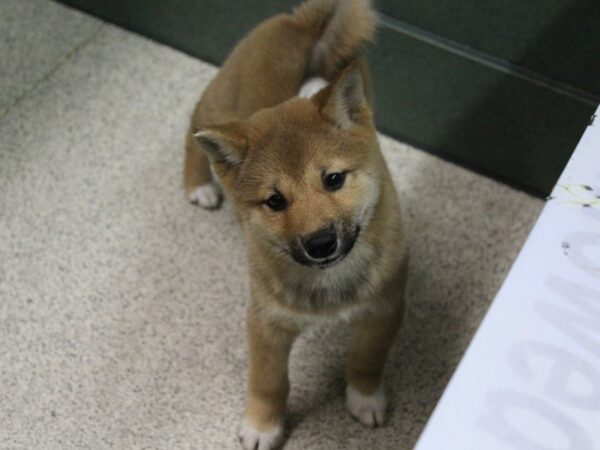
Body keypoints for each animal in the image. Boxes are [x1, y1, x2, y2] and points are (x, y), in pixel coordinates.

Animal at [184, 0, 408, 450]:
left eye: (334, 179)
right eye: (275, 201)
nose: (320, 242)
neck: (330, 283)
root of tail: (300, 24)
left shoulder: (384, 309)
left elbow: (365, 360)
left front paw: (365, 398)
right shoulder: (267, 322)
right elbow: (269, 382)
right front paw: (262, 425)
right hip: (216, 106)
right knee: (191, 132)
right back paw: (197, 184)